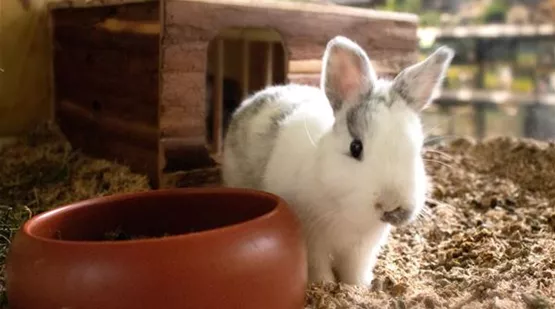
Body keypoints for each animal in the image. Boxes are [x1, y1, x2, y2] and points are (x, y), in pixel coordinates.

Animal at [219, 36, 454, 286]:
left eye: (417, 150)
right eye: (355, 147)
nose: (391, 205)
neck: (346, 210)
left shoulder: (362, 249)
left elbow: (355, 271)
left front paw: (359, 288)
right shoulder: (312, 239)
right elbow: (318, 266)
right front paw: (326, 286)